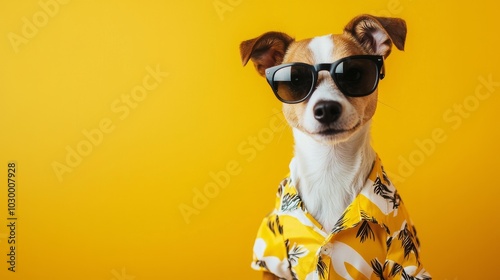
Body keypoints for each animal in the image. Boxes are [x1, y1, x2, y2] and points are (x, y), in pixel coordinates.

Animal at [240, 15, 432, 280]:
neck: (329, 168)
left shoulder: (403, 259)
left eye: (354, 74)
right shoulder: (273, 261)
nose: (326, 108)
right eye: (295, 80)